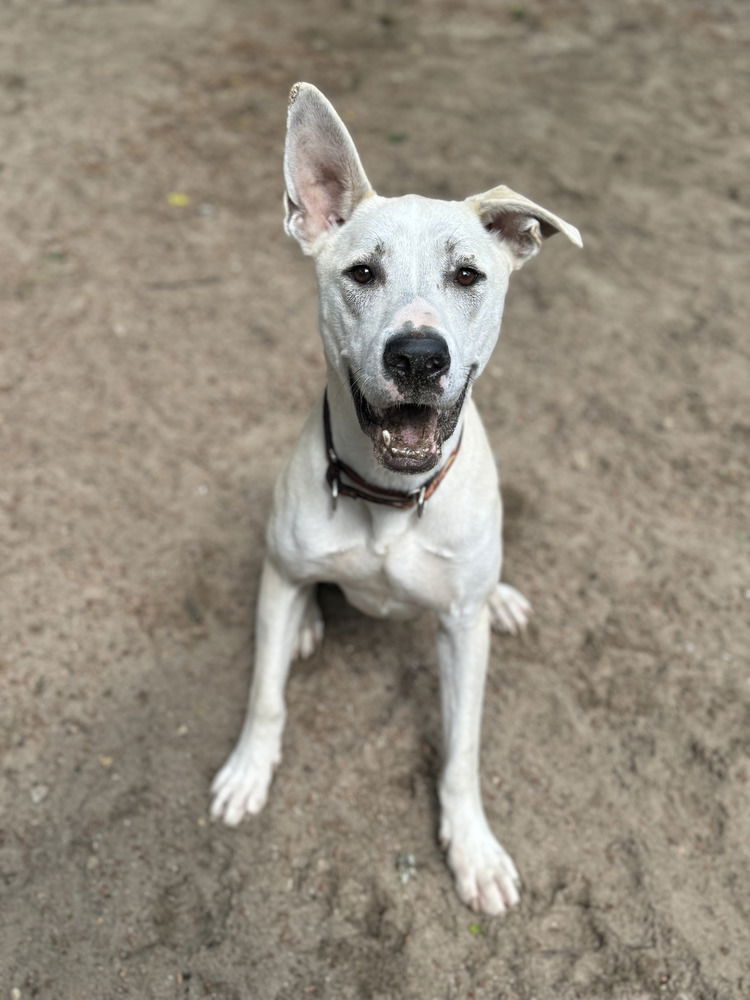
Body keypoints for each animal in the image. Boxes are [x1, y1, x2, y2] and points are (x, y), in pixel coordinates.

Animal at [212, 86, 580, 916]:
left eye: (469, 275)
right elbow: (265, 696)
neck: (390, 498)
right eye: (362, 272)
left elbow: (462, 749)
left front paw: (472, 848)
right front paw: (249, 769)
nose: (417, 357)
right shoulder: (282, 575)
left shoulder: (459, 633)